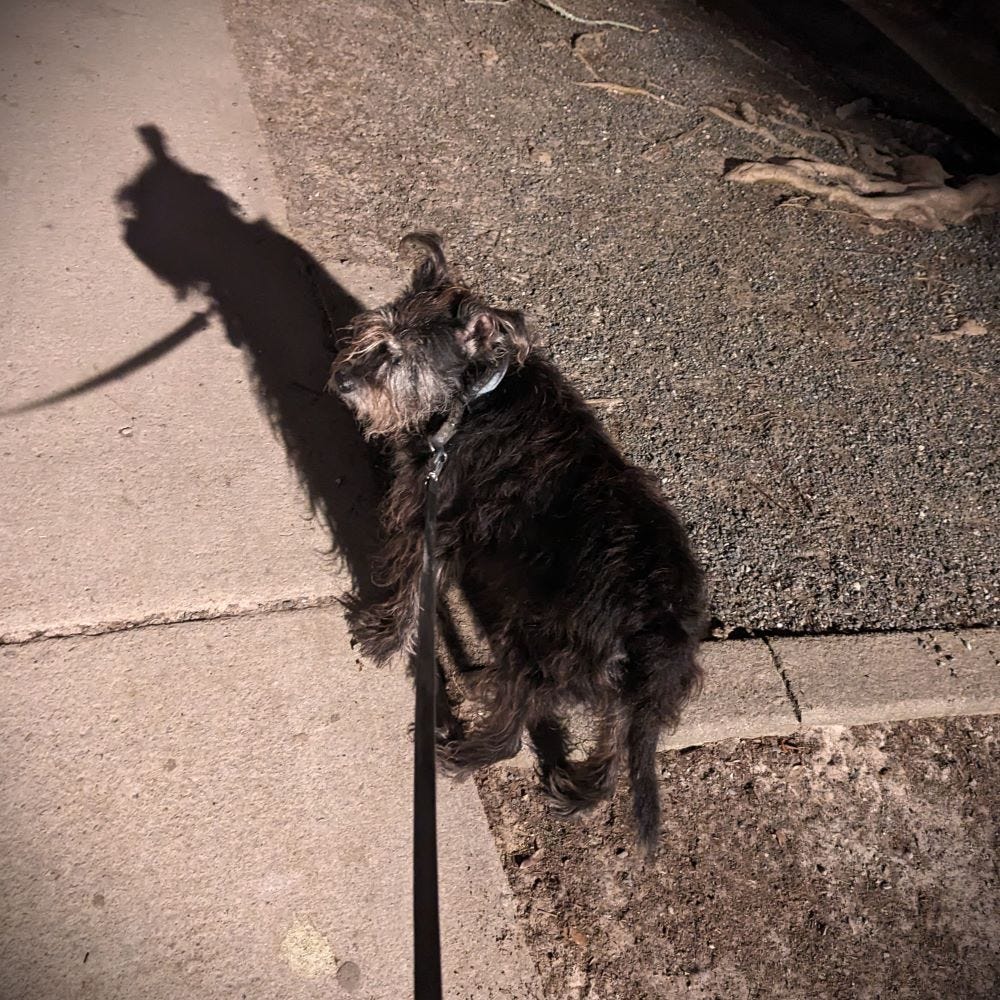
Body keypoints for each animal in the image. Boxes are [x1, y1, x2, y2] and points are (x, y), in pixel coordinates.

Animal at [332, 234, 708, 852]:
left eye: (399, 355)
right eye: (373, 334)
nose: (341, 380)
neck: (477, 397)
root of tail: (657, 615)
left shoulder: (433, 511)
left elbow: (410, 578)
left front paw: (383, 637)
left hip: (535, 639)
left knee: (517, 723)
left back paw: (464, 754)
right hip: (618, 682)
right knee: (616, 738)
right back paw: (582, 794)